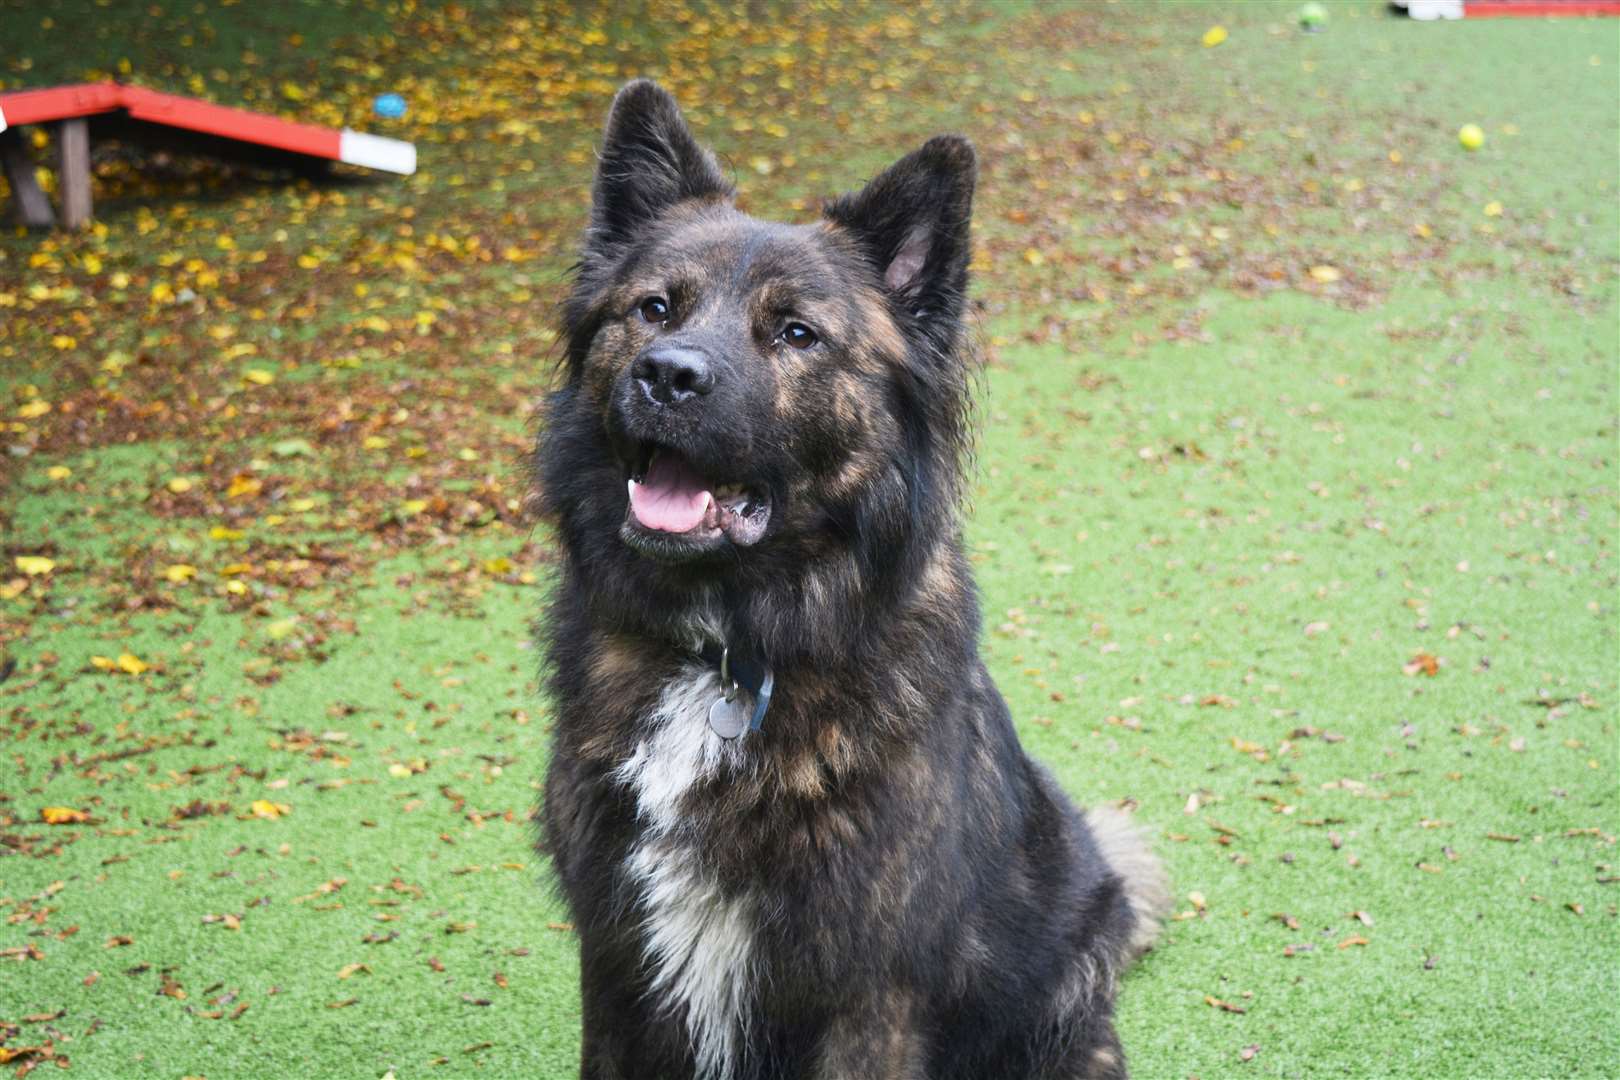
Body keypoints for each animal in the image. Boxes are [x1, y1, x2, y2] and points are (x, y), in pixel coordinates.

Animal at [537, 78, 1172, 1080]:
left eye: (796, 333)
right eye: (654, 310)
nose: (668, 376)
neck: (726, 652)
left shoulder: (871, 990)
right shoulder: (616, 963)